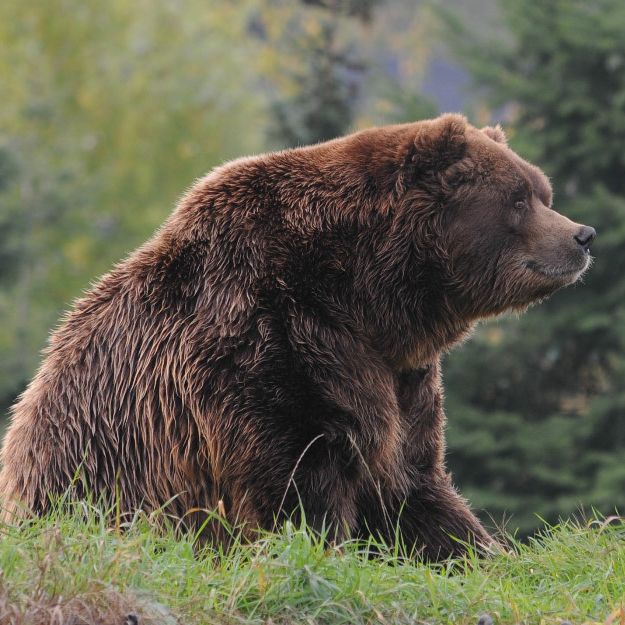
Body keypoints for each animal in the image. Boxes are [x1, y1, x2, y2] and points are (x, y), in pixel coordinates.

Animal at [0, 114, 596, 560]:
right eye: (518, 199)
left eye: (542, 191)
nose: (582, 235)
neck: (364, 297)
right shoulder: (268, 345)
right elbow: (294, 479)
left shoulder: (399, 375)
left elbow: (413, 483)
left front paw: (484, 552)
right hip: (93, 469)